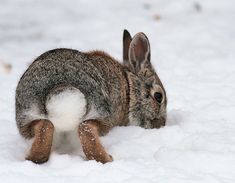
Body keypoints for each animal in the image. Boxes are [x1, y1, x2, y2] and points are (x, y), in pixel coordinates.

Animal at [15, 30, 166, 164]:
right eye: (158, 96)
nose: (161, 124)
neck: (129, 87)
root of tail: (62, 91)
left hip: (27, 117)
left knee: (45, 126)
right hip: (101, 113)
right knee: (86, 129)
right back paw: (108, 159)